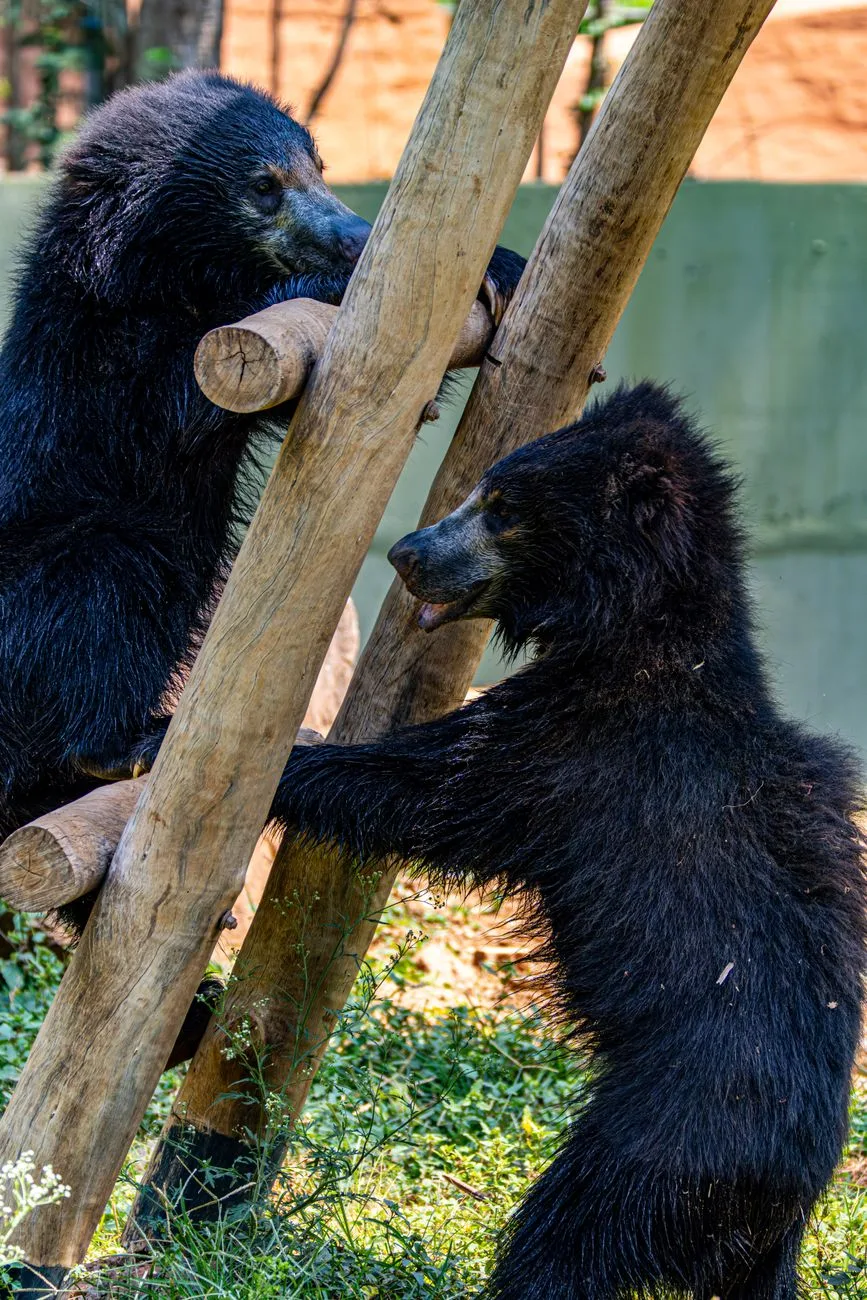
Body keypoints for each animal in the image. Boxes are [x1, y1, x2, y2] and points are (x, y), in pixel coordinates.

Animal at [0, 70, 525, 953]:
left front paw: (502, 264)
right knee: (108, 577)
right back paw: (125, 741)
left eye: (316, 166)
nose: (354, 236)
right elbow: (177, 405)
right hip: (33, 604)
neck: (166, 277)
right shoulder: (97, 370)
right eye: (263, 187)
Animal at [271, 383, 867, 1300]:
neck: (637, 634)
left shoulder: (569, 757)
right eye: (482, 488)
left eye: (503, 509)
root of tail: (786, 1192)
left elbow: (429, 791)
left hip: (654, 1153)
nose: (405, 553)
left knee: (560, 1245)